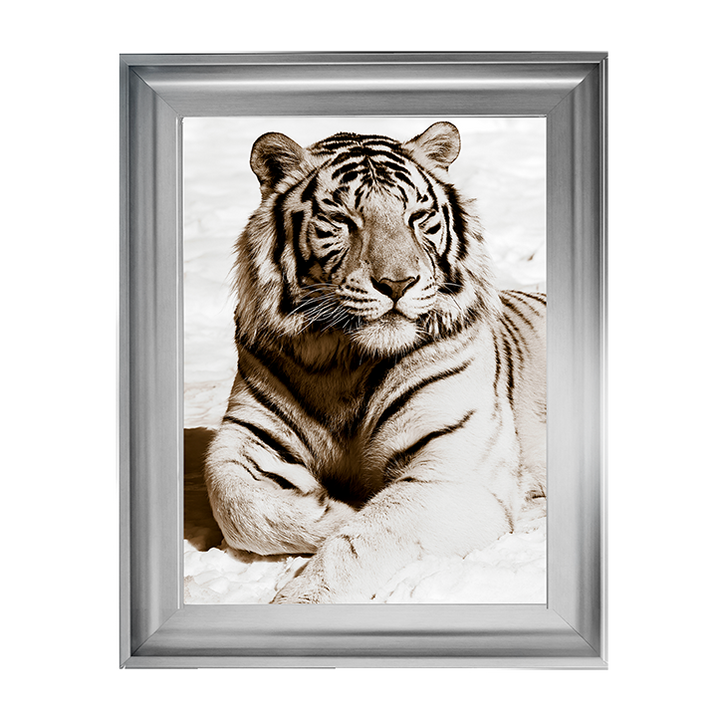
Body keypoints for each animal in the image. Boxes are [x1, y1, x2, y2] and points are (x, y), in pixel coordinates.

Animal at [204, 121, 546, 603]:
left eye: (417, 217)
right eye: (343, 221)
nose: (398, 283)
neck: (344, 360)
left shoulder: (454, 472)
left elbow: (366, 538)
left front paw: (302, 596)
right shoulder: (247, 435)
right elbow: (235, 504)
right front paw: (334, 508)